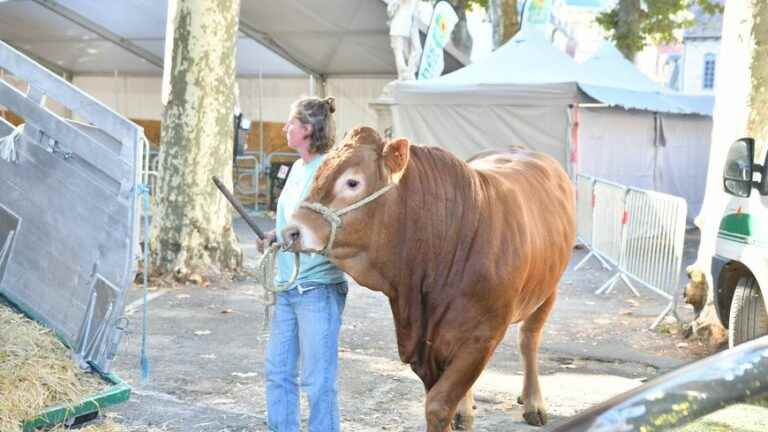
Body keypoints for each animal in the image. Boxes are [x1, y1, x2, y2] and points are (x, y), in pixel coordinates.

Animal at [284, 126, 576, 430]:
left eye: (352, 182)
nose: (291, 231)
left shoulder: (482, 338)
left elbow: (438, 404)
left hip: (548, 289)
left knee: (529, 339)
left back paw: (533, 402)